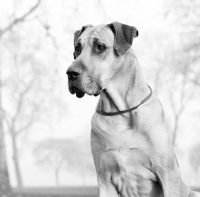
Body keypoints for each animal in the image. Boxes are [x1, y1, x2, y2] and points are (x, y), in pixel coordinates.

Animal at [66, 21, 199, 197]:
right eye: (77, 48)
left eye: (100, 47)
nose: (70, 73)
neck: (120, 112)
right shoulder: (104, 178)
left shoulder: (167, 173)